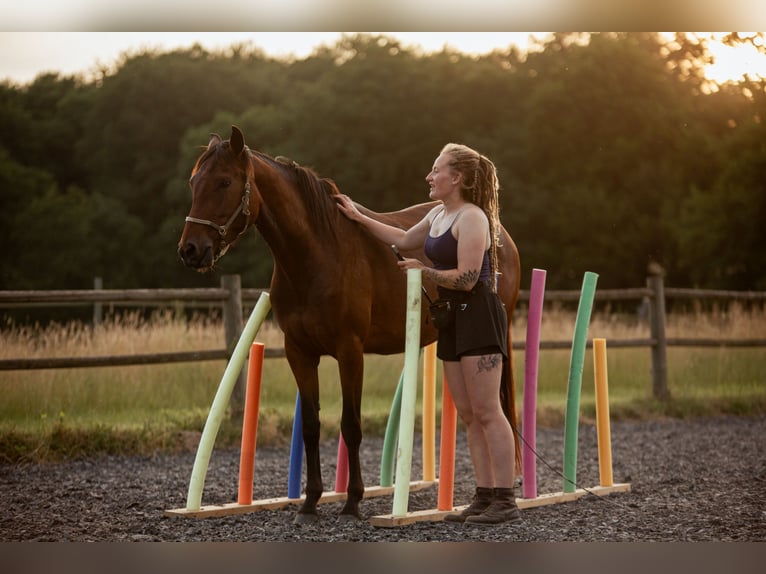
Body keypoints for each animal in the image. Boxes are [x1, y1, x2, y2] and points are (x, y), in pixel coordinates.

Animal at [177, 126, 520, 528]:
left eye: (224, 182)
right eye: (194, 181)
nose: (190, 250)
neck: (318, 255)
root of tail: (501, 235)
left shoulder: (350, 351)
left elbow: (351, 426)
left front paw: (353, 501)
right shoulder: (299, 353)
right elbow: (311, 427)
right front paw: (310, 502)